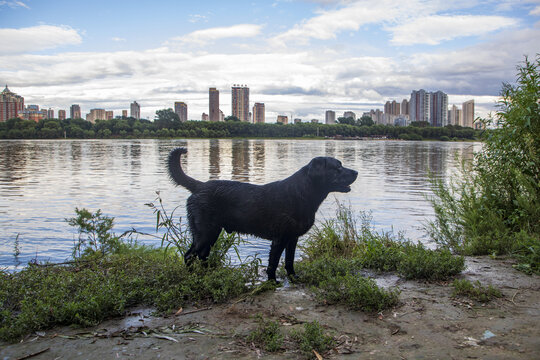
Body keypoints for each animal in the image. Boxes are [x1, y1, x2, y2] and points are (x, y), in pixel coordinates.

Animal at [167, 147, 356, 282]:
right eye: (338, 167)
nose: (356, 172)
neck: (302, 193)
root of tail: (199, 186)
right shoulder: (280, 238)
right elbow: (273, 263)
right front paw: (272, 283)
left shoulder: (292, 238)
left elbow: (289, 261)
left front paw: (293, 278)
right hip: (205, 232)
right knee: (189, 256)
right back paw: (195, 277)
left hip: (211, 233)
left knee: (201, 256)